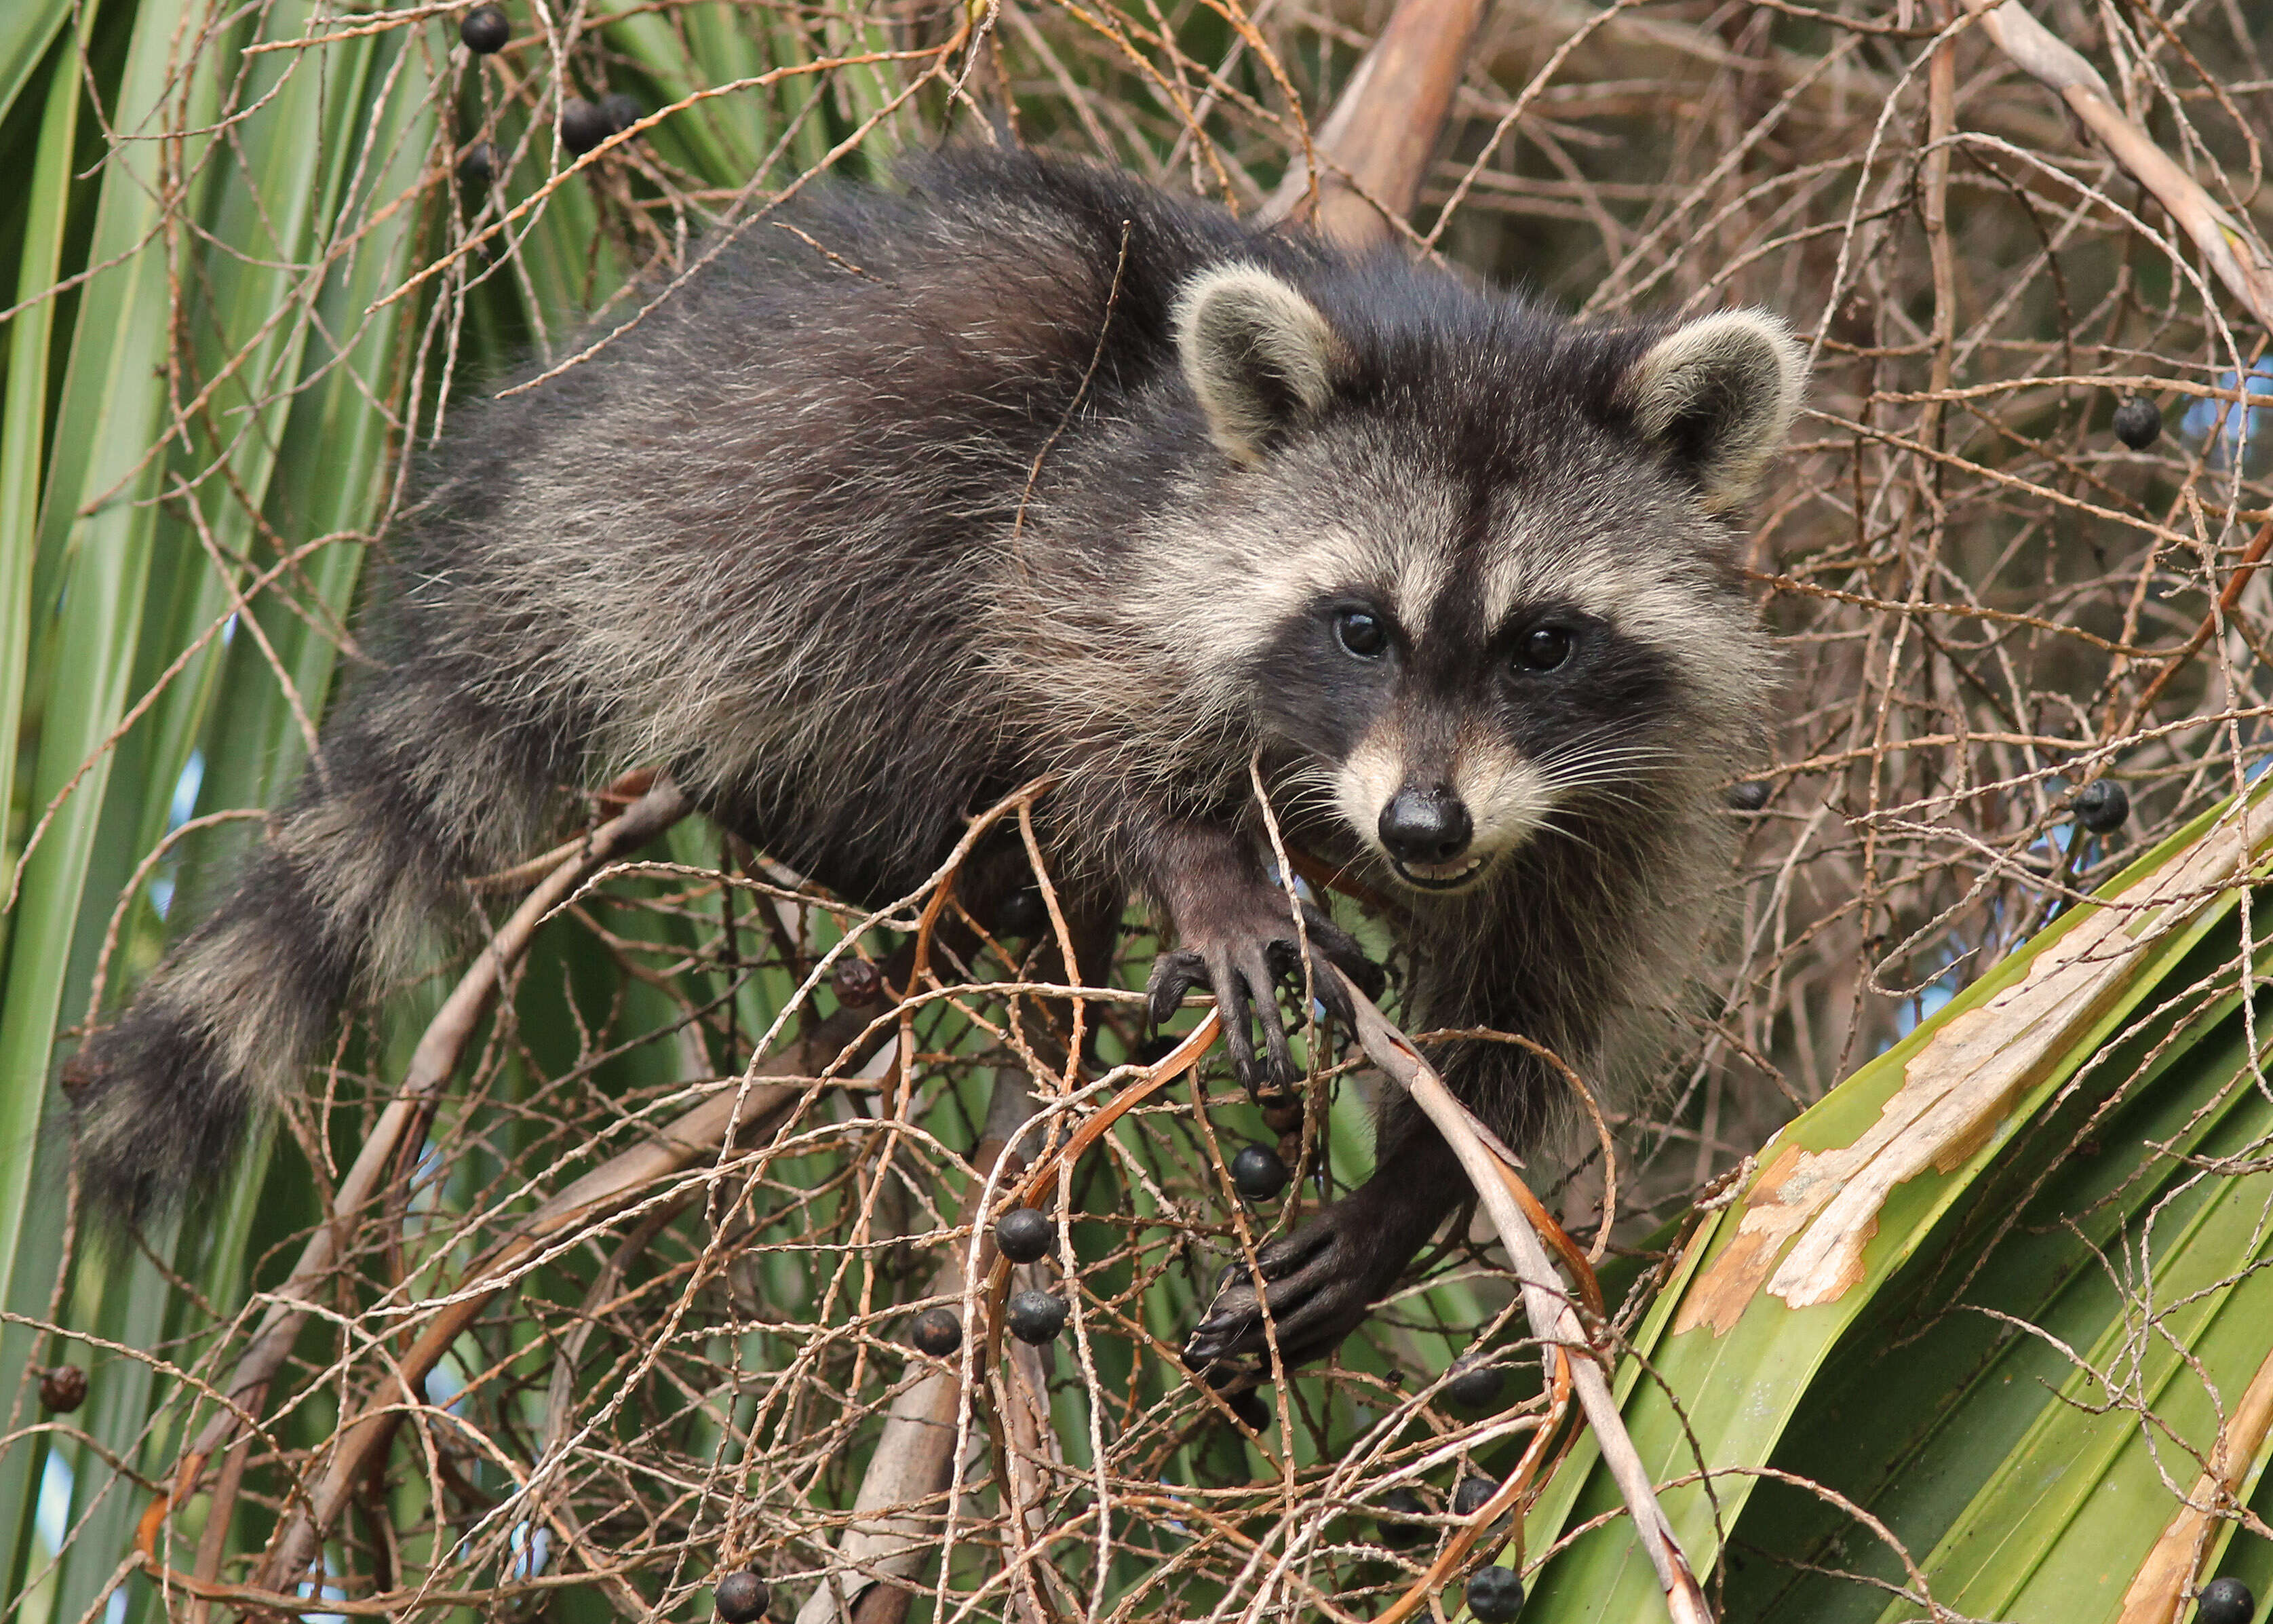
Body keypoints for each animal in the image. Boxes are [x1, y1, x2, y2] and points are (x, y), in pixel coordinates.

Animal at [71, 149, 1800, 1364]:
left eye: (1542, 643)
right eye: (1360, 629)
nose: (1423, 832)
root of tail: (554, 454)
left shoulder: (1608, 778)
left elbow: (1553, 979)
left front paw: (1421, 1181)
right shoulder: (1114, 520)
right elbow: (1052, 660)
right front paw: (1199, 864)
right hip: (767, 437)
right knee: (932, 463)